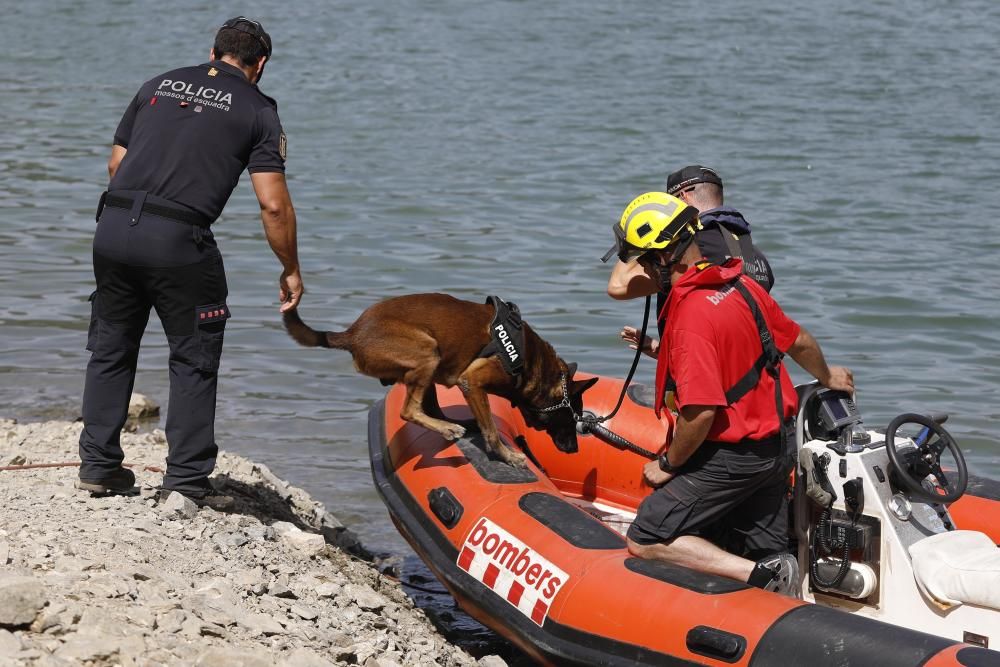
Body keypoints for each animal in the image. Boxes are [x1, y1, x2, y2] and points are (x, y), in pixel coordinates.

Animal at [282, 294, 592, 468]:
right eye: (572, 417)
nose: (575, 449)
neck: (532, 361)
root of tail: (352, 333)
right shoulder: (472, 381)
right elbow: (491, 431)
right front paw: (507, 456)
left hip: (430, 362)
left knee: (428, 406)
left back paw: (453, 424)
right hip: (427, 350)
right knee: (409, 410)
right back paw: (448, 428)